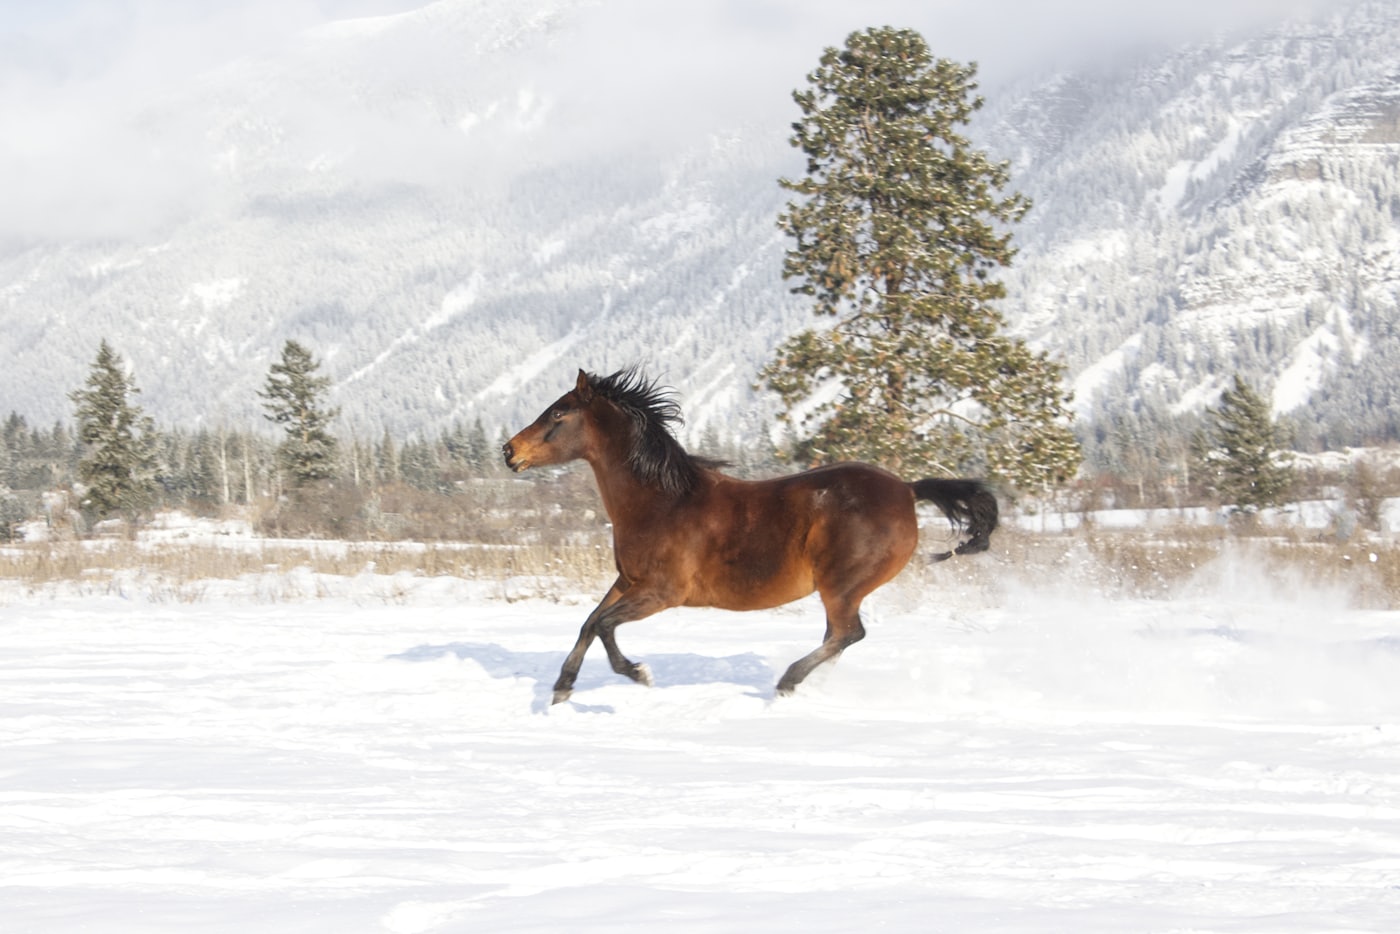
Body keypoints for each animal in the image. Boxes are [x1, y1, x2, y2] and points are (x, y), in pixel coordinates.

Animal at [502, 368, 999, 704]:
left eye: (558, 412)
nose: (509, 451)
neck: (662, 503)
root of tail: (908, 490)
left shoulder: (663, 592)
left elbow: (605, 624)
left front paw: (638, 673)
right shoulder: (630, 582)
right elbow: (590, 622)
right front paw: (561, 689)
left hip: (842, 586)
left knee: (848, 634)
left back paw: (788, 682)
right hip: (840, 590)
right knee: (837, 638)